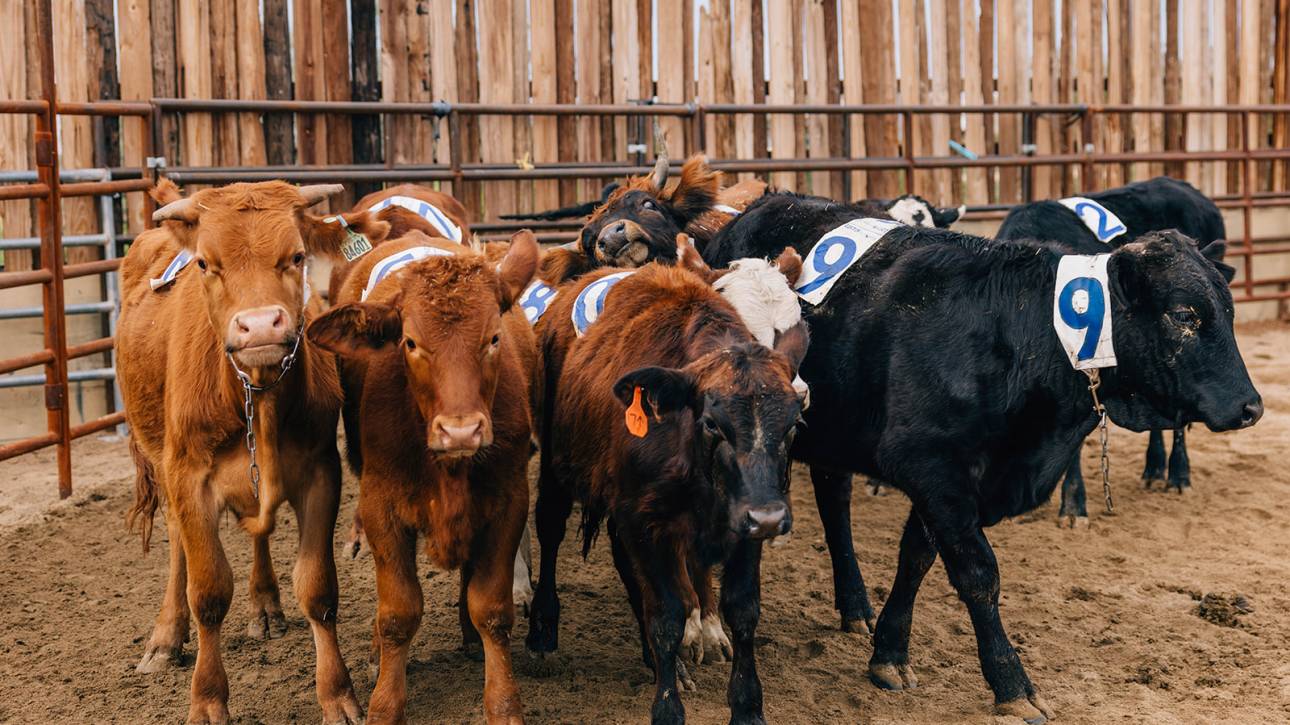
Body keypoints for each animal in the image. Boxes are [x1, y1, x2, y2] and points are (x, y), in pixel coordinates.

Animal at [119, 180, 390, 724]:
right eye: (206, 263)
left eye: (297, 256)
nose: (261, 326)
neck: (255, 396)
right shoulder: (188, 479)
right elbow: (207, 591)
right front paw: (206, 699)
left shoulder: (320, 472)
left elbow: (317, 587)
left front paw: (338, 695)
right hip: (161, 462)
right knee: (179, 548)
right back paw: (165, 638)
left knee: (258, 530)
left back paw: (265, 605)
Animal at [307, 230, 539, 724]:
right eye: (410, 342)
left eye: (494, 337)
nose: (460, 431)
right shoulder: (381, 507)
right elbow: (398, 613)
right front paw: (384, 703)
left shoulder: (508, 501)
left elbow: (492, 609)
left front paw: (504, 704)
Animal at [525, 262, 808, 724]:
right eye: (712, 422)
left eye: (793, 424)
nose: (768, 517)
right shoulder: (647, 522)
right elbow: (668, 617)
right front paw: (668, 707)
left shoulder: (743, 524)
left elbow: (743, 610)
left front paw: (747, 706)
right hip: (554, 464)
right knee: (550, 528)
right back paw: (542, 632)